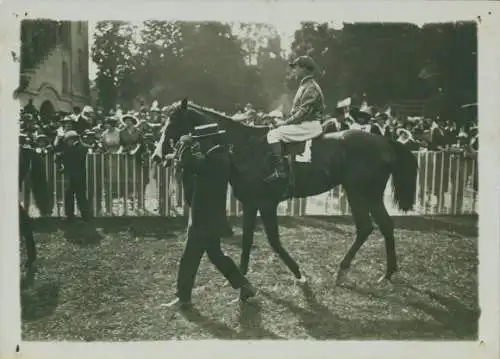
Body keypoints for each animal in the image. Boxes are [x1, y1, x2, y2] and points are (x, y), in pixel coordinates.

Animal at [153, 100, 418, 292]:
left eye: (172, 121)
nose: (157, 155)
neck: (245, 147)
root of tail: (384, 141)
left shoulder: (266, 204)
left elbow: (274, 241)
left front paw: (299, 275)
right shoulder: (251, 203)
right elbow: (248, 239)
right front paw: (243, 276)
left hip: (358, 192)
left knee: (366, 227)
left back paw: (343, 271)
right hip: (369, 194)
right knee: (384, 225)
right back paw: (387, 273)